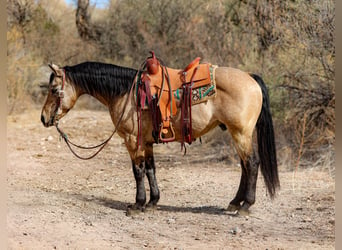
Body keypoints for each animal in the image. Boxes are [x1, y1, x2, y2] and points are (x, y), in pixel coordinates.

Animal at [41, 54, 280, 215]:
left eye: (53, 89)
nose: (44, 118)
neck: (125, 92)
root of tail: (250, 77)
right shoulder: (146, 142)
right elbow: (150, 169)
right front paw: (152, 202)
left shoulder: (132, 140)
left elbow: (138, 171)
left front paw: (137, 204)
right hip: (237, 134)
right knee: (244, 167)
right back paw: (234, 203)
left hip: (241, 133)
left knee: (252, 164)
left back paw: (245, 205)